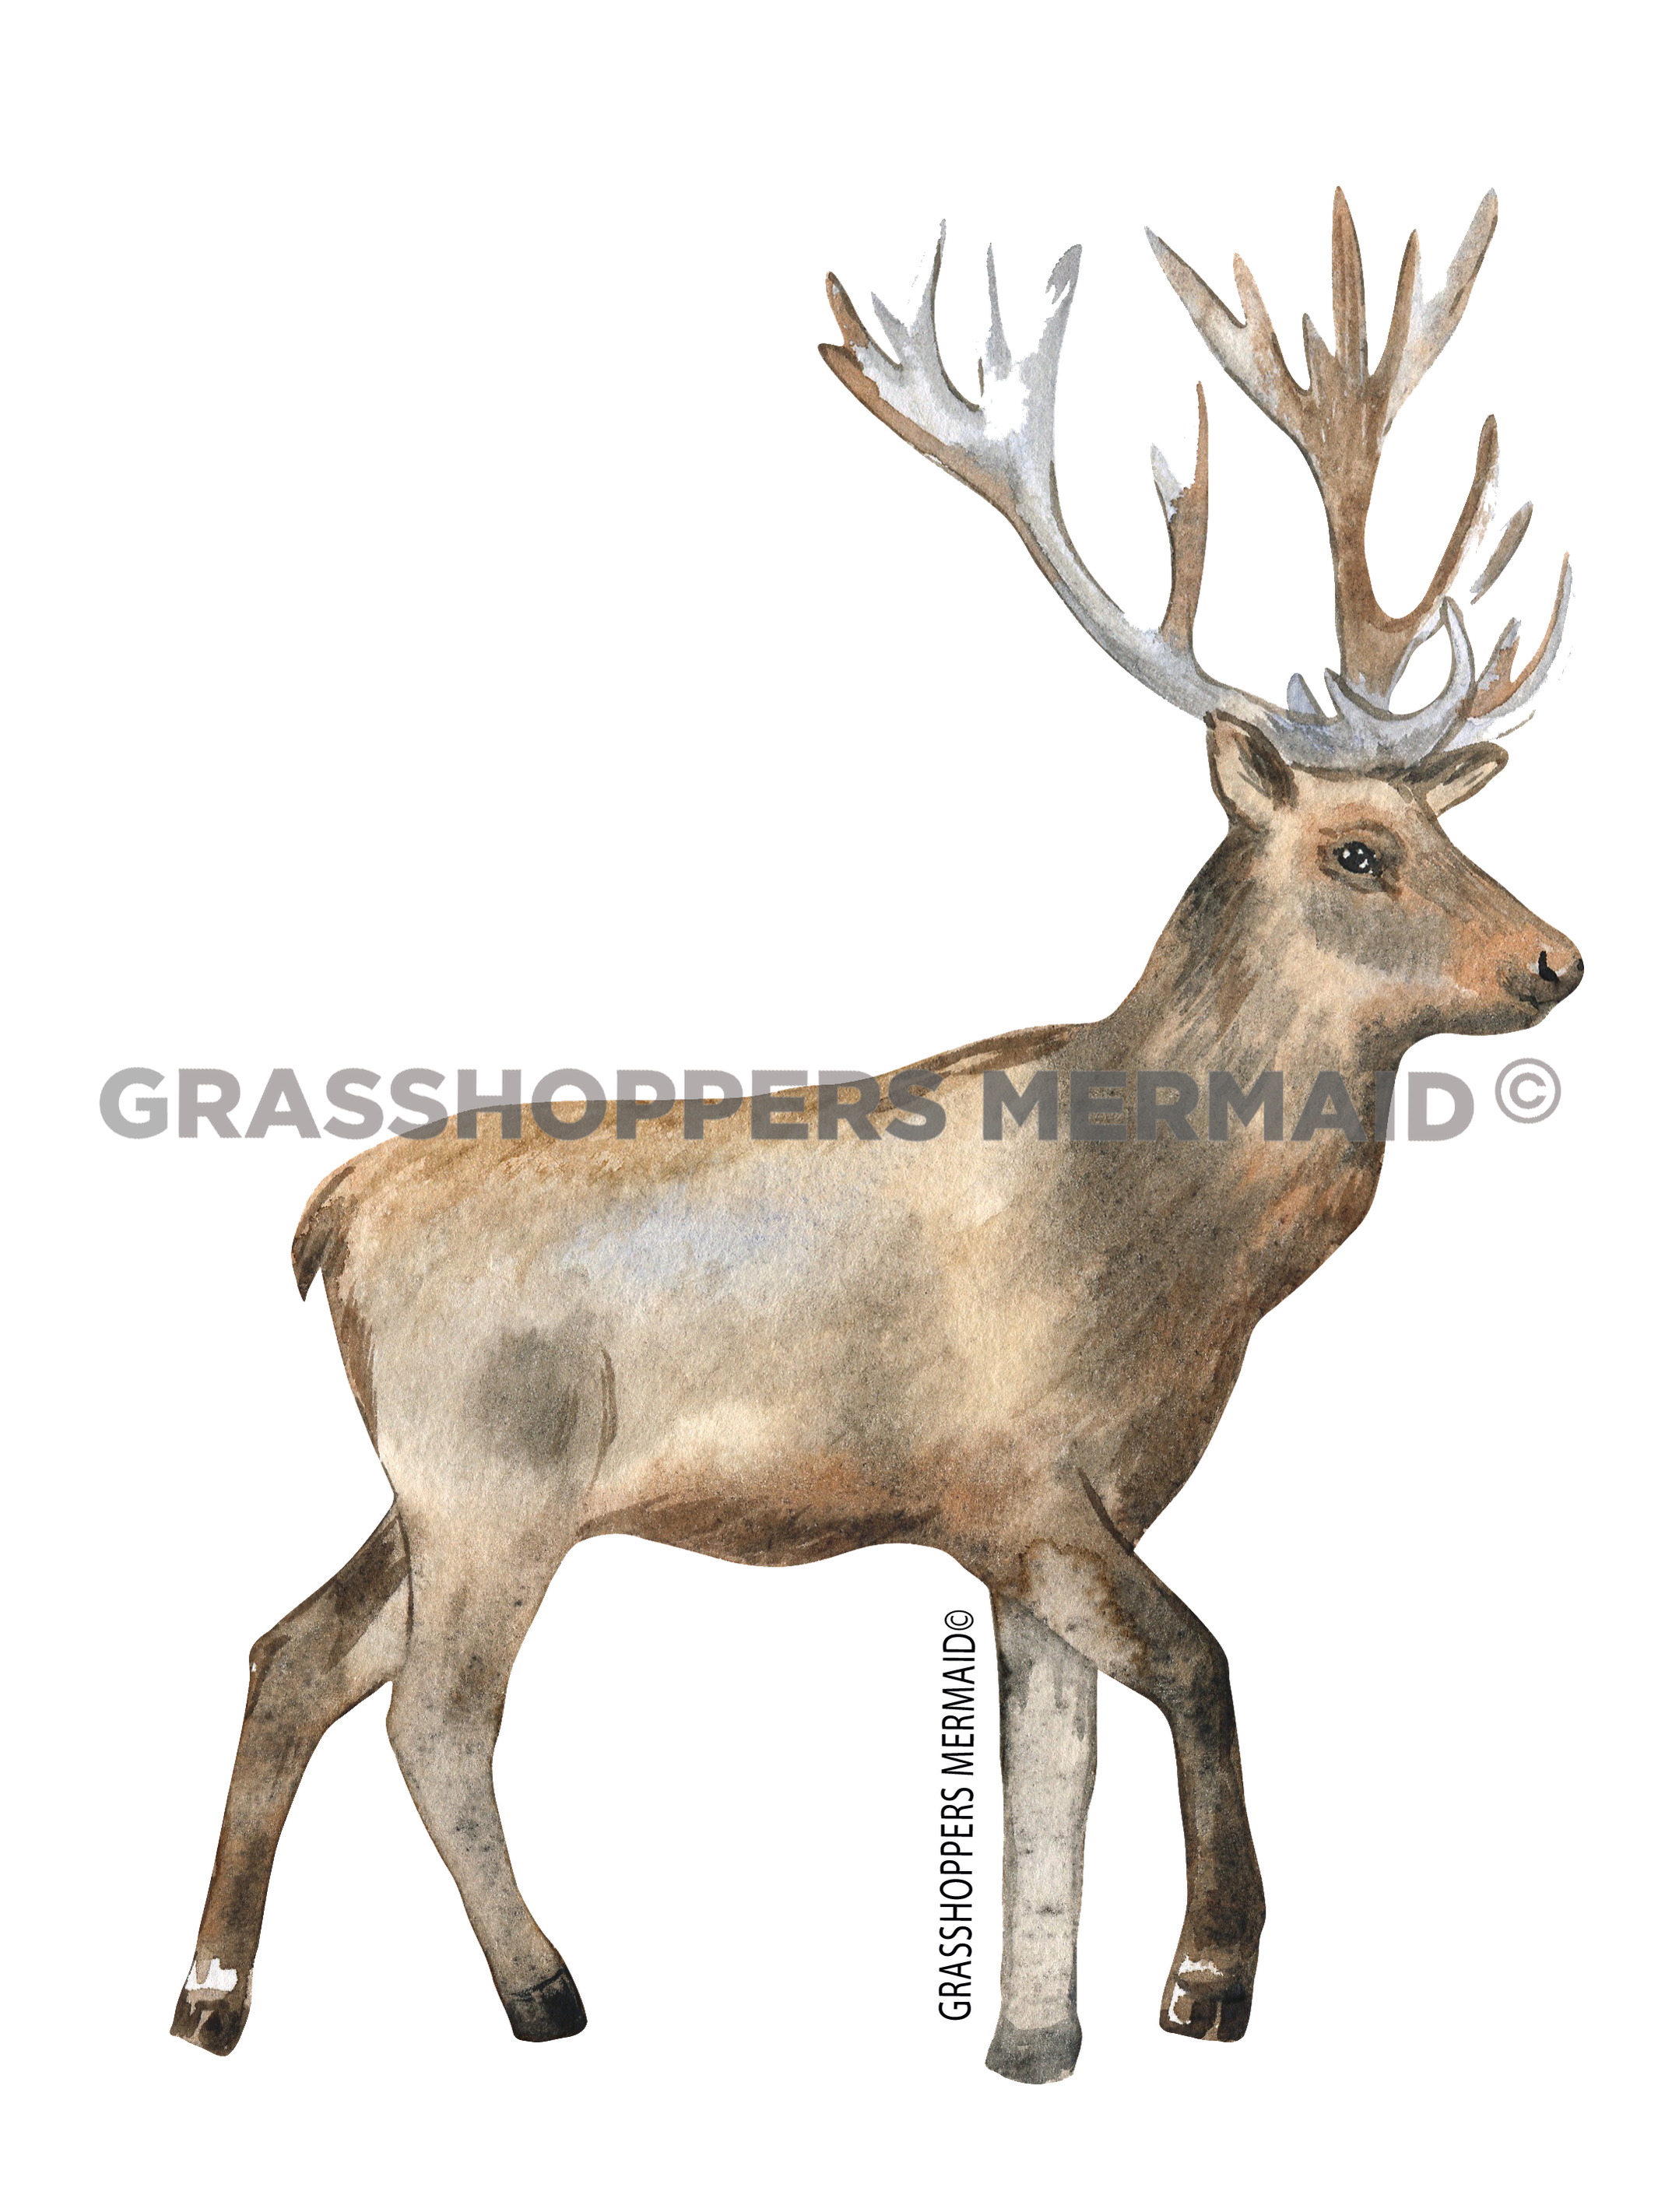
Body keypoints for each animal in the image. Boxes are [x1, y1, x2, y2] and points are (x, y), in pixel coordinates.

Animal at [170, 188, 1580, 2077]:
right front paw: (1206, 1979)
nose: (1556, 959)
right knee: (435, 1710)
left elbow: (1047, 1782)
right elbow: (1199, 1663)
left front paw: (1035, 2037)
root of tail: (331, 1208)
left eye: (1449, 829)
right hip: (493, 1471)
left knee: (296, 1650)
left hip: (419, 1478)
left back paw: (212, 1993)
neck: (1171, 1261)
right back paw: (547, 1989)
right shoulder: (1007, 1470)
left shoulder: (1065, 1511)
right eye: (1358, 849)